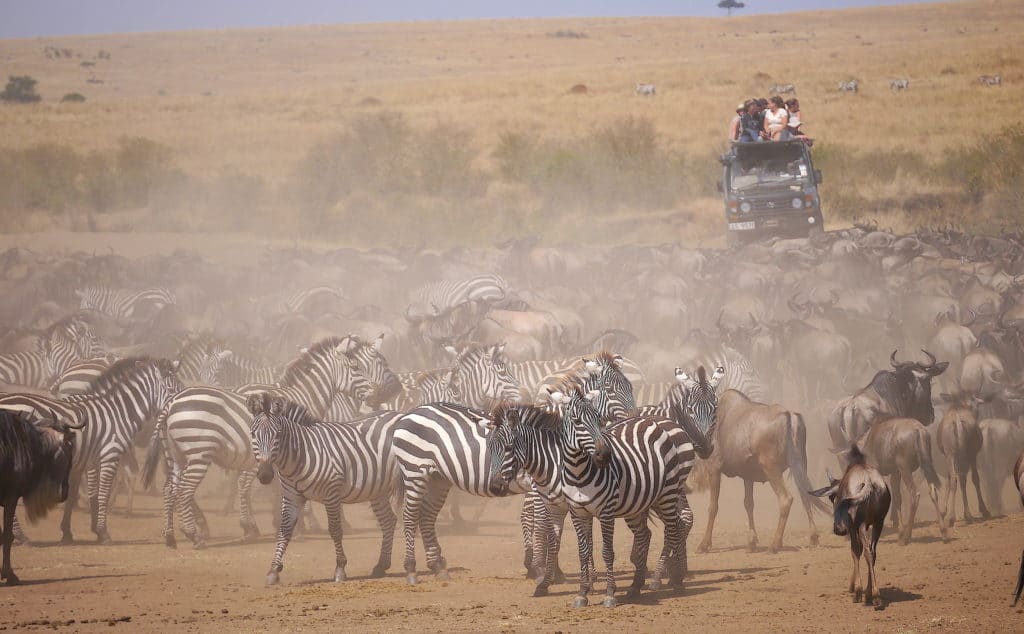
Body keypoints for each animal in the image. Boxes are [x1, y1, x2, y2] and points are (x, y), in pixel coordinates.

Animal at [0, 360, 181, 544]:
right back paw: (20, 536)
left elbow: (80, 494)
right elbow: (102, 493)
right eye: (171, 389)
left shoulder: (85, 461)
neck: (118, 412)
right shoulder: (109, 455)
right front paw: (103, 532)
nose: (178, 407)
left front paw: (69, 532)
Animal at [142, 337, 370, 548]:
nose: (375, 392)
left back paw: (170, 536)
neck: (303, 397)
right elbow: (285, 492)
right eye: (355, 367)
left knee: (170, 489)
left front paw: (279, 525)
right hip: (199, 453)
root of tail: (171, 402)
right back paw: (194, 535)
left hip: (176, 454)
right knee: (185, 491)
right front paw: (295, 528)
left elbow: (278, 491)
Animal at [247, 395, 403, 585]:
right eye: (253, 434)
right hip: (378, 489)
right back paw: (381, 565)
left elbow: (335, 530)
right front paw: (274, 570)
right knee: (388, 521)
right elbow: (284, 530)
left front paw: (340, 569)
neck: (302, 454)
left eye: (277, 434)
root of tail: (399, 413)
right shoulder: (291, 497)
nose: (265, 475)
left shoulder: (331, 494)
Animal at [489, 368, 720, 606]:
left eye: (508, 448)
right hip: (647, 497)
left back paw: (667, 576)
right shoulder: (560, 506)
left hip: (667, 492)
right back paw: (662, 577)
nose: (496, 486)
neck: (553, 460)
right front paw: (552, 582)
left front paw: (576, 580)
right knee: (666, 525)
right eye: (490, 447)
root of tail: (672, 424)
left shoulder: (570, 505)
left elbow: (580, 541)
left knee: (678, 522)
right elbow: (561, 542)